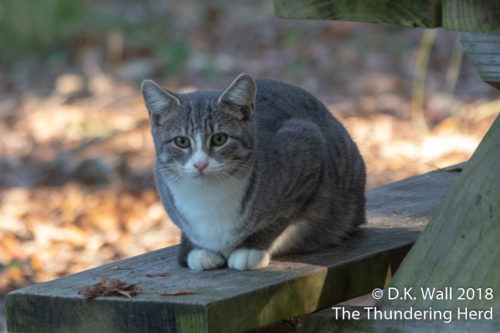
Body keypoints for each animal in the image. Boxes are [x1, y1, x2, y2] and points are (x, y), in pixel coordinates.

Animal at [142, 72, 368, 270]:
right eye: (181, 141)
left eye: (219, 138)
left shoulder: (307, 149)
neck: (208, 197)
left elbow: (281, 218)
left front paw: (251, 248)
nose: (200, 164)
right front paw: (196, 250)